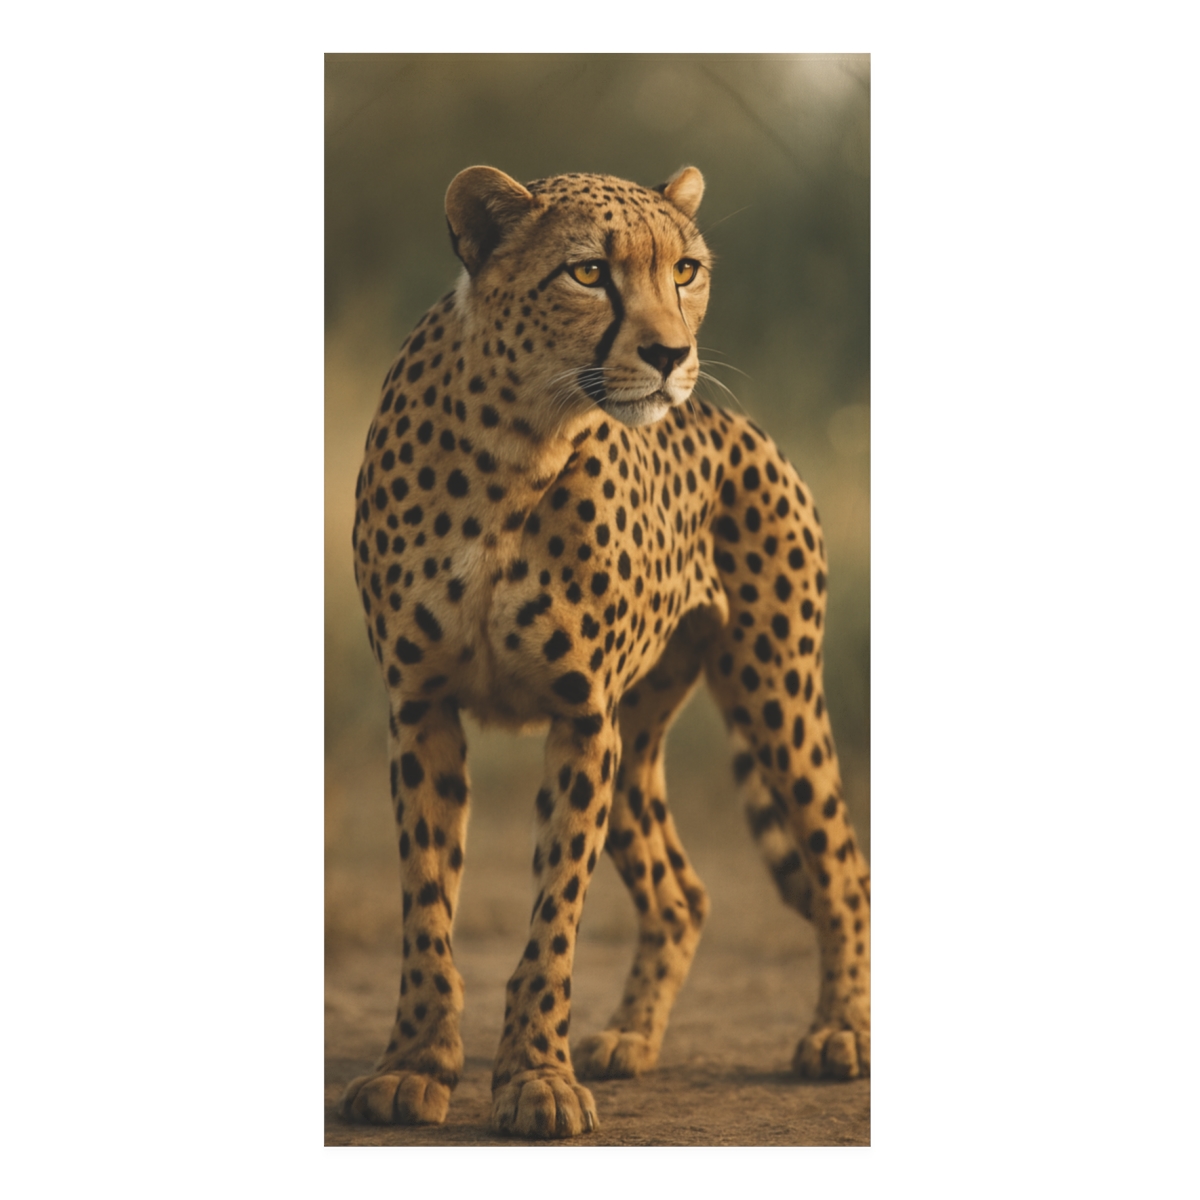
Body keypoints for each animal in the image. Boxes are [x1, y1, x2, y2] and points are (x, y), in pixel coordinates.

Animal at [337, 164, 870, 1138]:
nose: (670, 356)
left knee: (840, 867)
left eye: (686, 270)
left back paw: (839, 1033)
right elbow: (427, 903)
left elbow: (555, 919)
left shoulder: (581, 718)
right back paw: (629, 1038)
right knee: (681, 892)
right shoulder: (422, 706)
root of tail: (736, 423)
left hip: (775, 688)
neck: (515, 447)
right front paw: (415, 1066)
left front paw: (535, 1081)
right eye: (588, 272)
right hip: (642, 732)